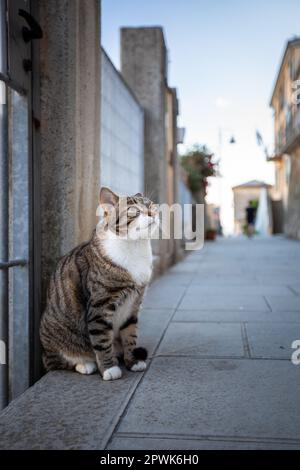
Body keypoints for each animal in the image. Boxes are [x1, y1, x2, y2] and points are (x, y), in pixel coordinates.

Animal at [39, 185, 159, 380]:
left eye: (151, 205)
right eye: (133, 210)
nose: (153, 212)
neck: (135, 247)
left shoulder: (133, 304)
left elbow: (130, 335)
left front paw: (132, 361)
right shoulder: (100, 306)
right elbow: (102, 341)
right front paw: (109, 368)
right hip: (55, 335)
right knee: (55, 362)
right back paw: (85, 364)